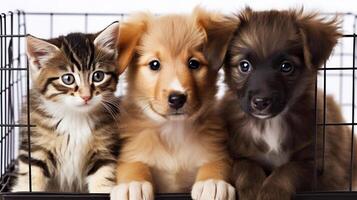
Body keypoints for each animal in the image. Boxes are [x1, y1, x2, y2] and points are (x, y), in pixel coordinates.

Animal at [12, 22, 121, 193]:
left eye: (98, 76)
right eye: (68, 79)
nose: (86, 96)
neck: (75, 116)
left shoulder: (104, 148)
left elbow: (103, 173)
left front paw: (103, 189)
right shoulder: (35, 143)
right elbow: (31, 173)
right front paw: (26, 188)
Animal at [110, 7, 235, 199]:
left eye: (193, 63)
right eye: (154, 64)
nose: (177, 98)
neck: (173, 133)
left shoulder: (216, 151)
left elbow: (216, 164)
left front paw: (212, 182)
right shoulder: (131, 152)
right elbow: (133, 165)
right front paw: (133, 184)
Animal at [221, 7, 354, 200]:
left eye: (286, 67)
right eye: (244, 66)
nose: (261, 102)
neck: (270, 123)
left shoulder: (322, 167)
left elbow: (290, 169)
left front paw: (271, 192)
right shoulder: (236, 155)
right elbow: (246, 166)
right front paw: (253, 189)